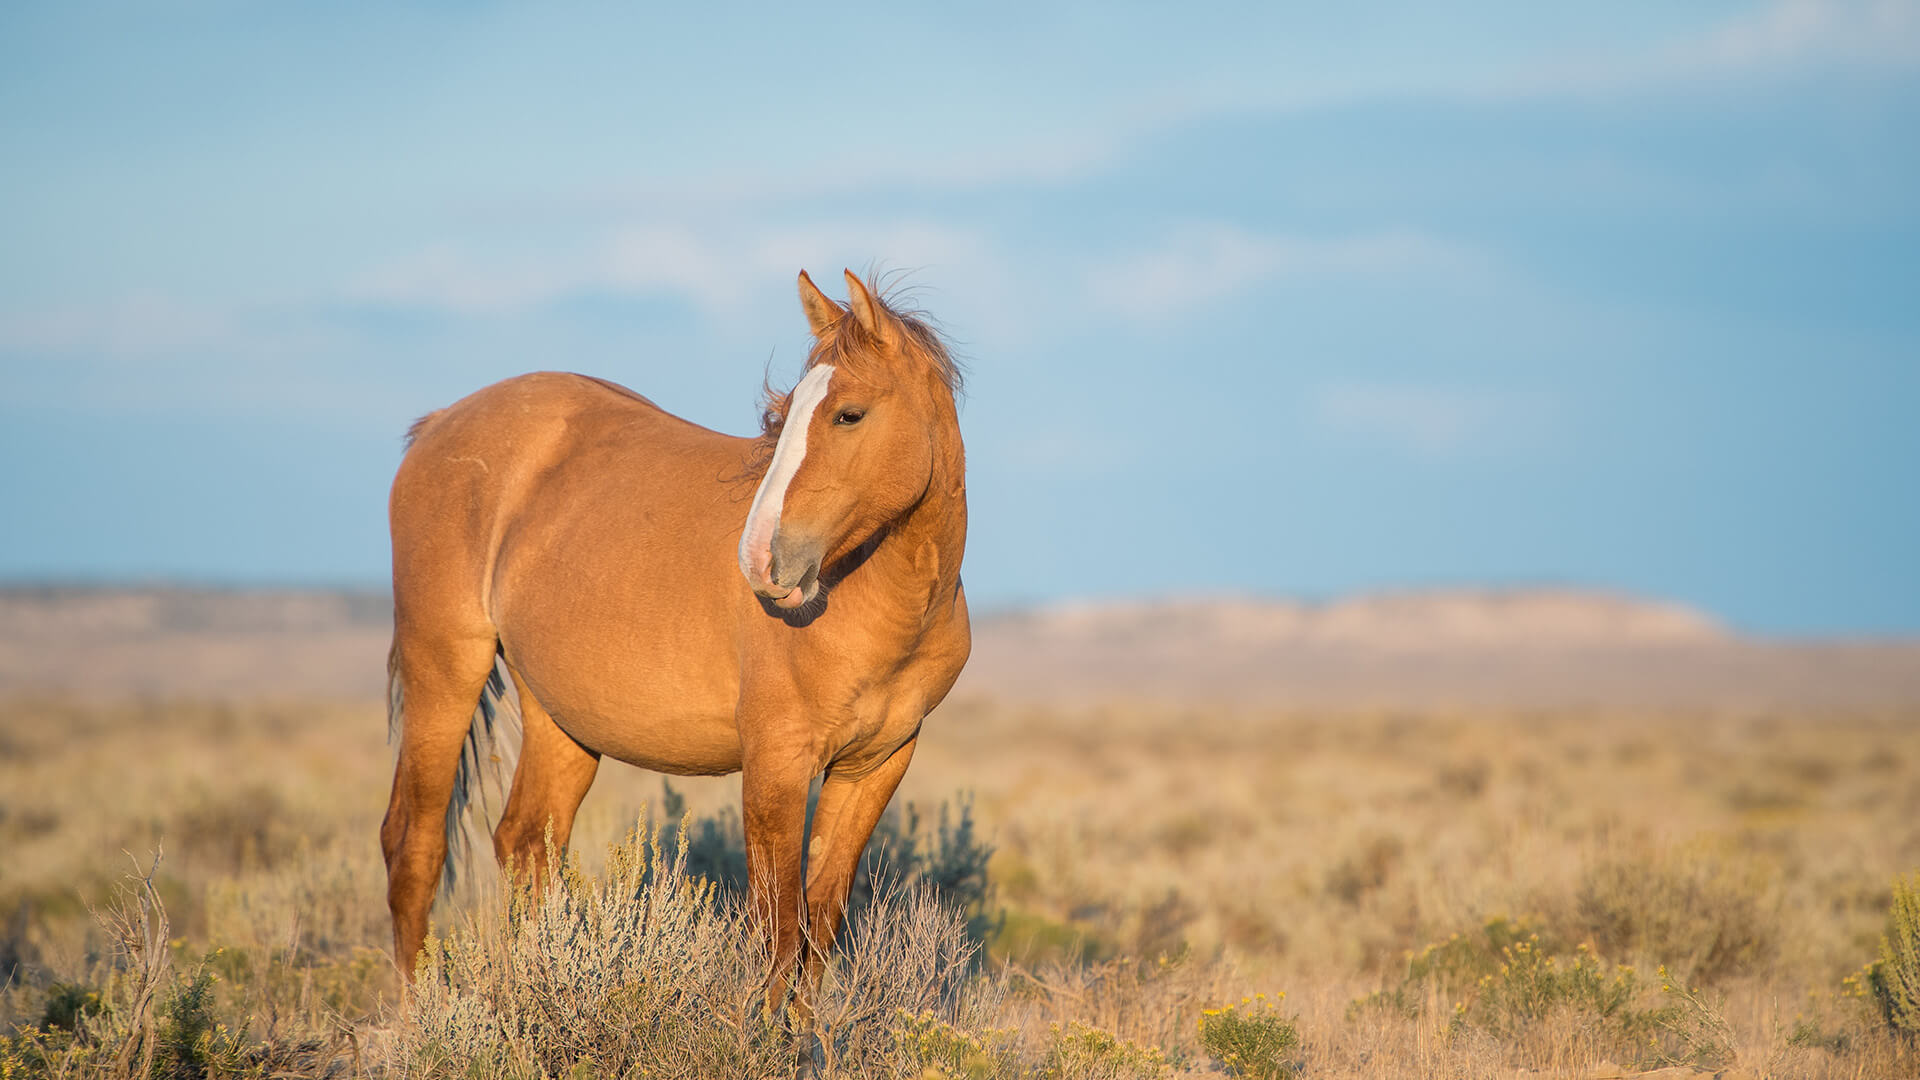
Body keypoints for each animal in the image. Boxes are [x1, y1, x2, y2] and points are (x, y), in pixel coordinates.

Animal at [380, 269, 967, 1006]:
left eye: (848, 414)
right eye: (785, 413)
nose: (760, 562)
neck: (887, 604)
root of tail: (439, 427)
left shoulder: (876, 765)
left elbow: (819, 928)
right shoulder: (775, 764)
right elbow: (778, 932)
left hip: (561, 718)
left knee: (525, 843)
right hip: (445, 674)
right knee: (415, 845)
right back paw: (414, 1014)